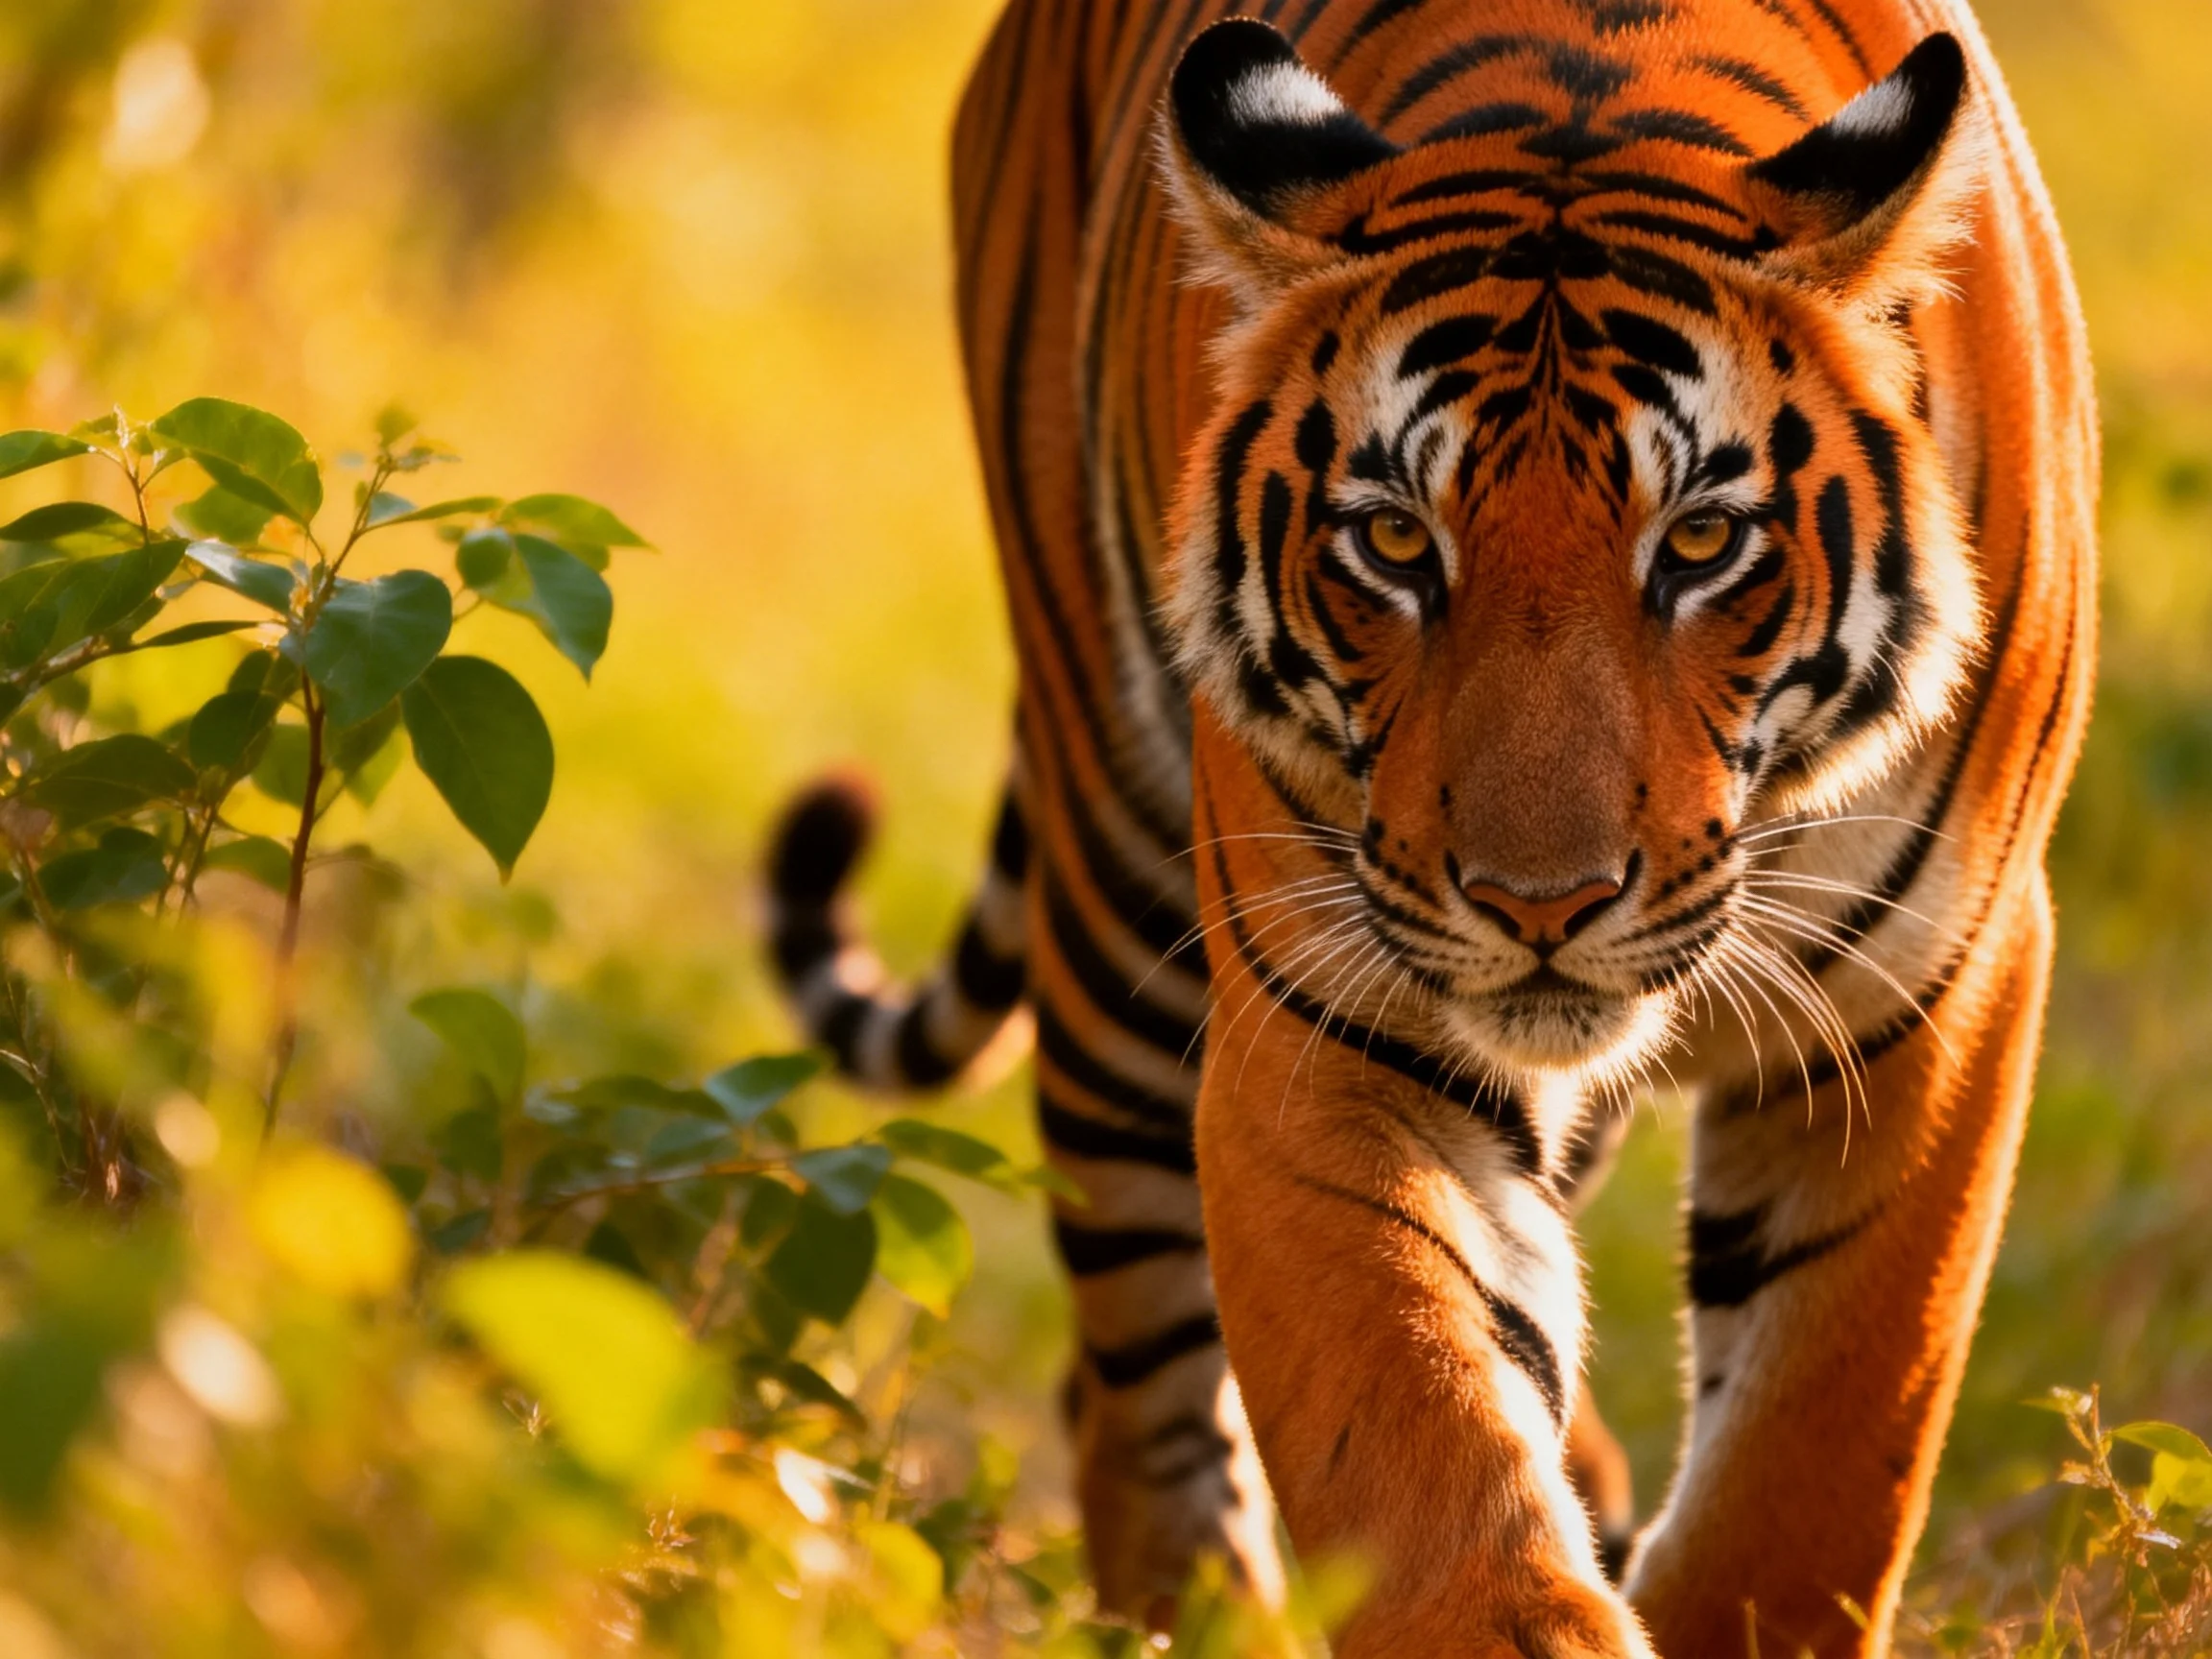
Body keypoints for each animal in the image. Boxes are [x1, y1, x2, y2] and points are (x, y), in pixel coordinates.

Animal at [764, 0, 2095, 1650]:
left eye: (1700, 543)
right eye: (1397, 541)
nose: (1541, 906)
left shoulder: (1932, 993)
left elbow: (1811, 1470)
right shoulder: (1327, 1021)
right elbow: (1419, 1424)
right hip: (1119, 910)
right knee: (1136, 1395)